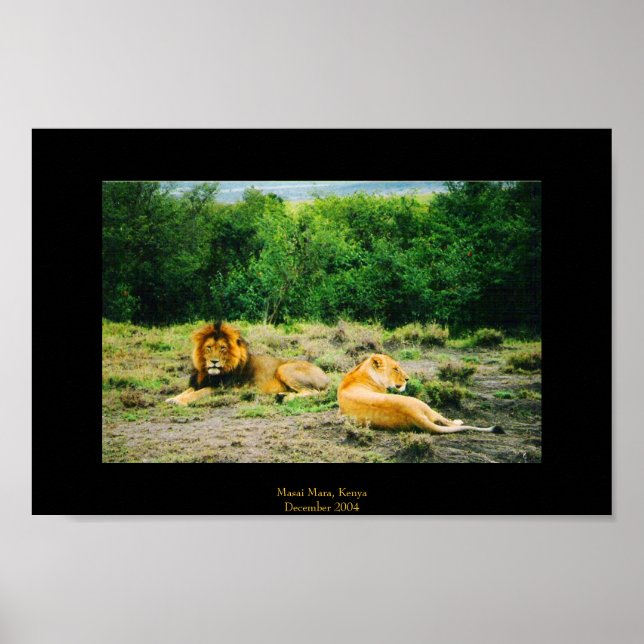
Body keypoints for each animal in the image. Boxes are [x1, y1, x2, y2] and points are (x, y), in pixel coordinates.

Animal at [166, 321, 330, 406]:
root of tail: (326, 376)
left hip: (284, 368)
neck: (209, 373)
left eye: (223, 348)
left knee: (314, 392)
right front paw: (172, 399)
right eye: (209, 347)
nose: (214, 362)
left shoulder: (222, 388)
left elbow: (197, 394)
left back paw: (286, 398)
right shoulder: (200, 383)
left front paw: (179, 402)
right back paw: (281, 395)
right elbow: (188, 391)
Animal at [338, 354, 503, 434]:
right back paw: (458, 421)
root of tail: (413, 414)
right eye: (395, 369)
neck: (362, 372)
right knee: (445, 421)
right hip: (425, 406)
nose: (407, 379)